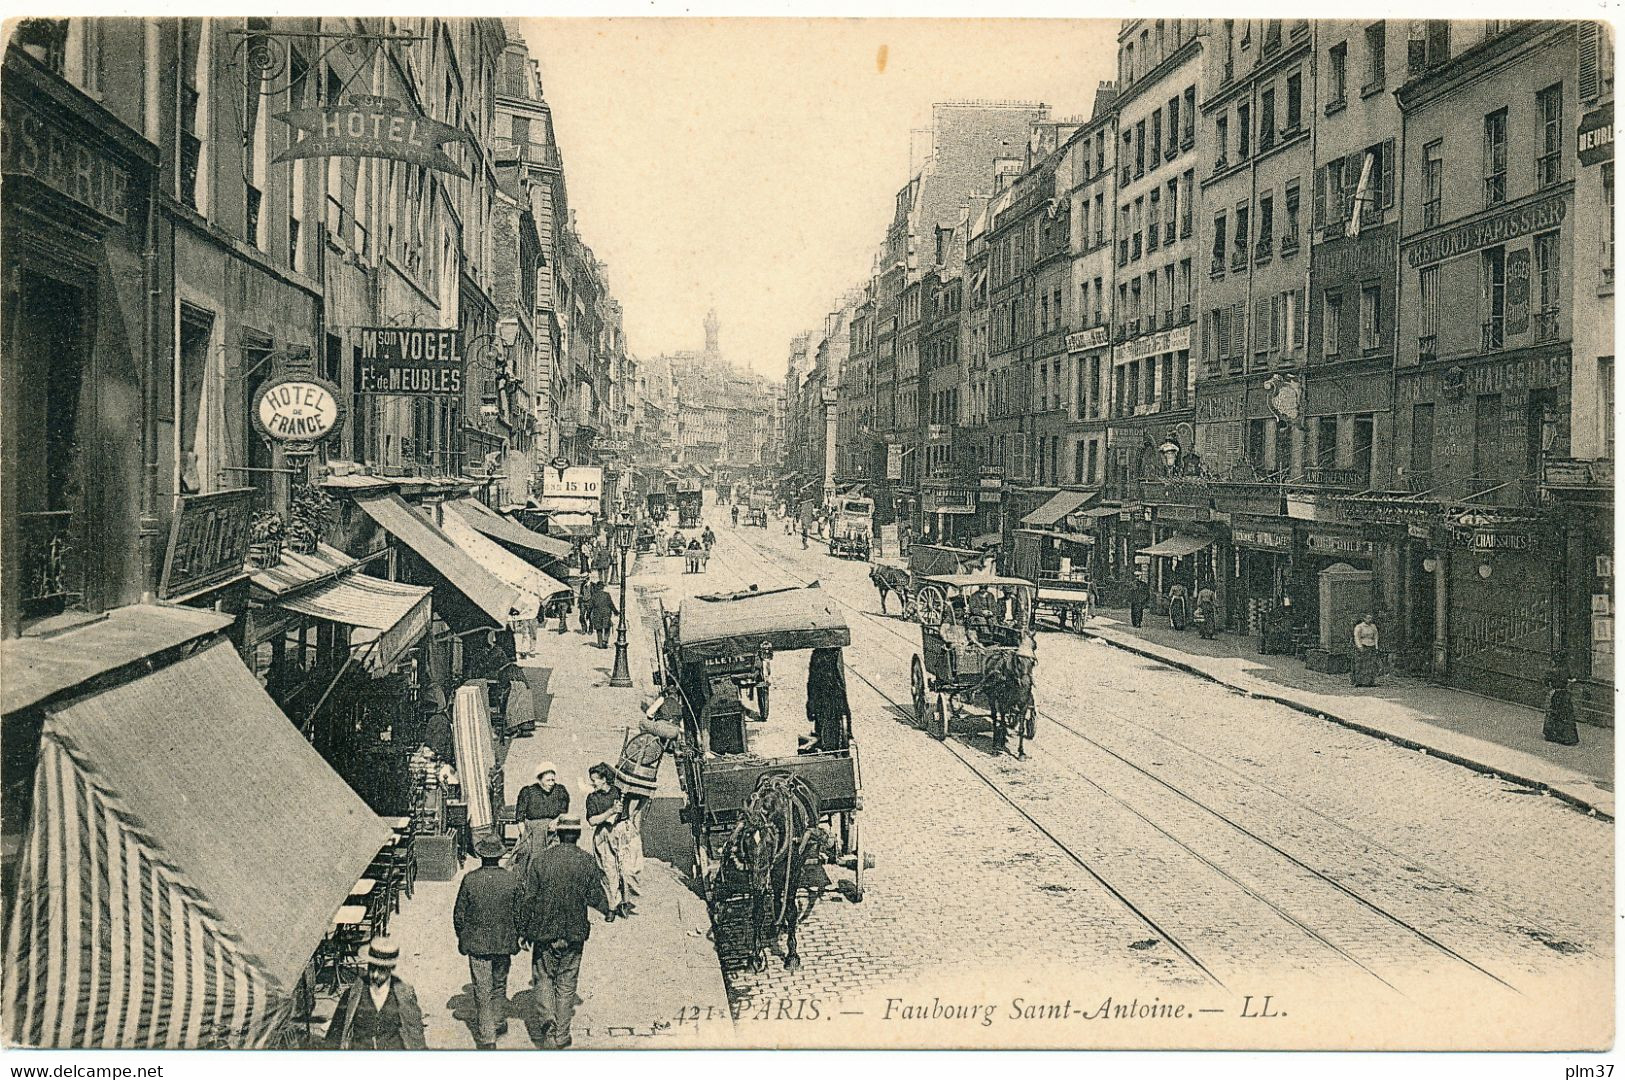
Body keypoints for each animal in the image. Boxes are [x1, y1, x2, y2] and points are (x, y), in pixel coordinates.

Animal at [724, 769, 832, 974]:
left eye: (768, 843)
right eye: (746, 843)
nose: (759, 883)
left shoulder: (794, 868)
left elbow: (791, 909)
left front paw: (792, 955)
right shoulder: (759, 872)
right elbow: (757, 912)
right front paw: (756, 956)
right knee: (775, 891)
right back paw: (776, 924)